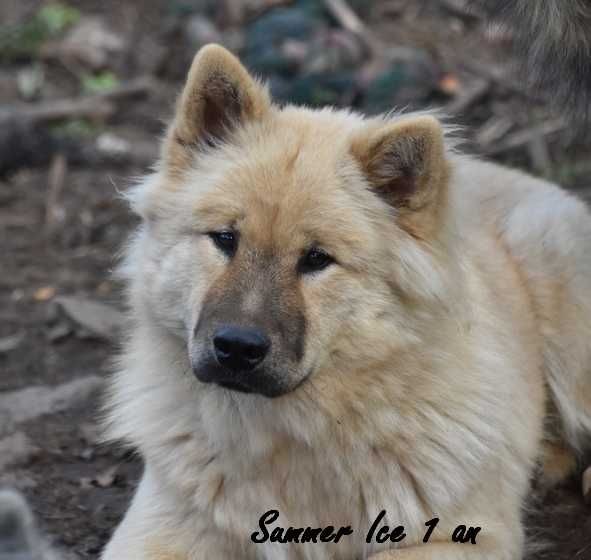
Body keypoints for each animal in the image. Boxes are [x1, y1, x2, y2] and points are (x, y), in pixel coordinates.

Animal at [101, 44, 591, 559]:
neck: (293, 433)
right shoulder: (160, 527)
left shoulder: (468, 538)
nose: (235, 347)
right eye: (225, 239)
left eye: (317, 259)